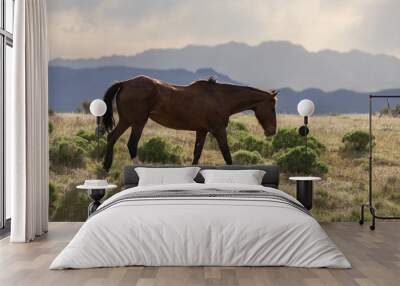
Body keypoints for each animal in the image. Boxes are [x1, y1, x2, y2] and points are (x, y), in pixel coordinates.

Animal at [101, 75, 276, 171]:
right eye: (273, 106)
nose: (272, 131)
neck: (221, 98)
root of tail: (124, 83)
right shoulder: (219, 130)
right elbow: (227, 155)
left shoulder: (202, 131)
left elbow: (196, 154)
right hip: (138, 122)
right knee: (131, 144)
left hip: (126, 120)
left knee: (112, 137)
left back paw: (106, 166)